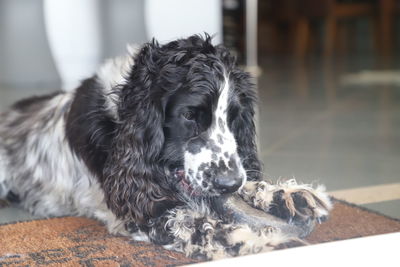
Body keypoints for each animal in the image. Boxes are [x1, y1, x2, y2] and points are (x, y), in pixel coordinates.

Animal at [0, 34, 332, 260]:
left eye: (233, 116)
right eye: (189, 115)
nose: (228, 183)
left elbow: (244, 187)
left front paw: (289, 194)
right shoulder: (136, 206)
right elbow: (195, 223)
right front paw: (256, 241)